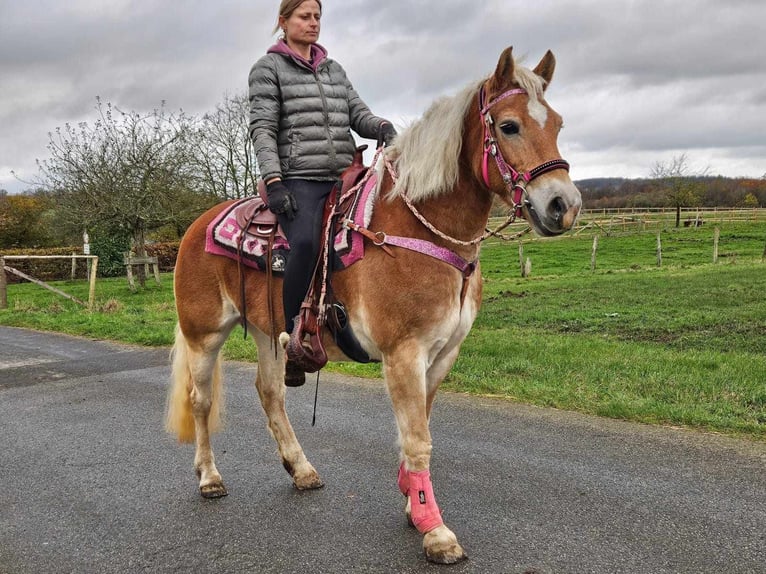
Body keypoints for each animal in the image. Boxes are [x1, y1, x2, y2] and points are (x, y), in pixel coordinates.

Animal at [165, 46, 580, 568]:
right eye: (508, 126)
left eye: (559, 123)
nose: (564, 205)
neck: (419, 230)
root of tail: (197, 225)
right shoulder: (404, 353)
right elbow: (418, 439)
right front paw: (434, 528)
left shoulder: (442, 355)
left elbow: (417, 428)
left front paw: (412, 502)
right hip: (205, 334)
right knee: (200, 400)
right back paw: (209, 478)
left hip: (268, 332)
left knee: (270, 393)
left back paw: (301, 468)